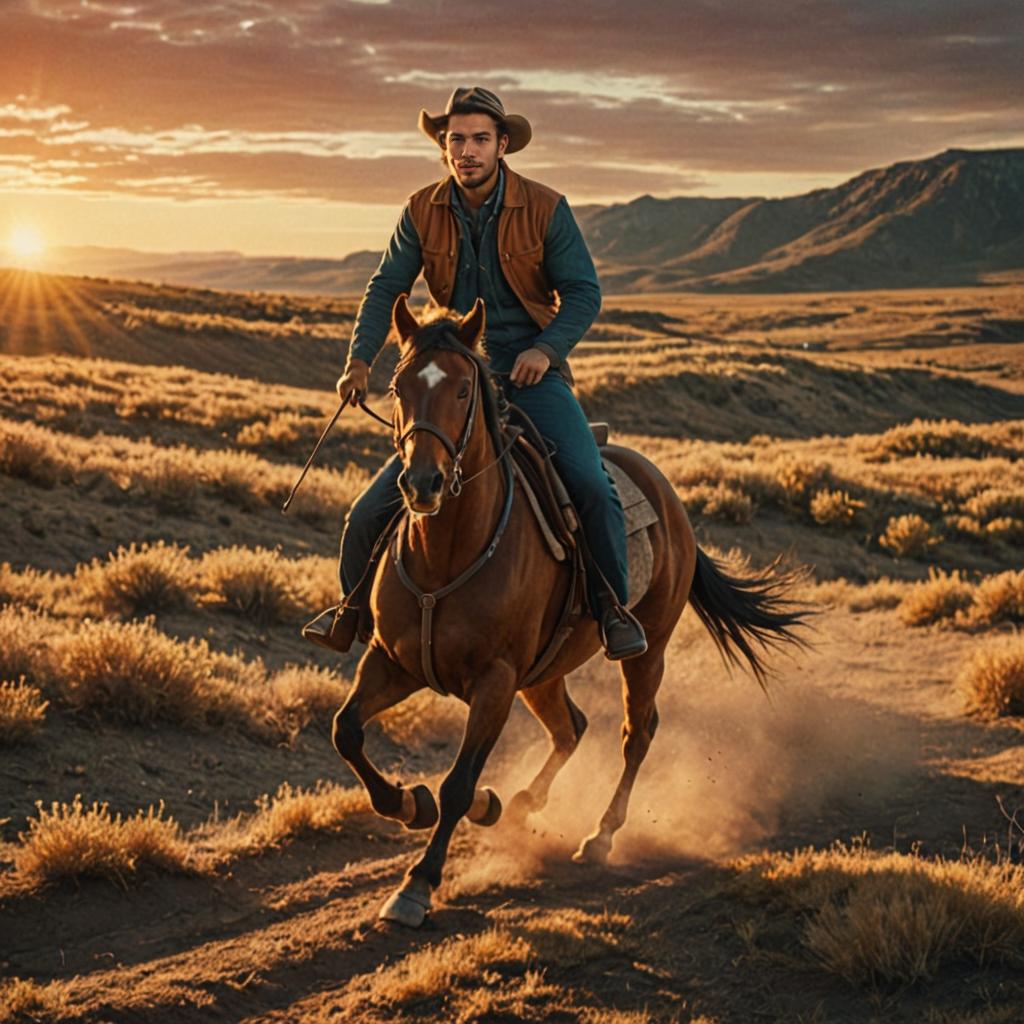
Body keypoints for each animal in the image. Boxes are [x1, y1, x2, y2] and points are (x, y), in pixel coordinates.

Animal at [329, 294, 806, 929]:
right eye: (399, 386)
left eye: (463, 390)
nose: (423, 482)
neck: (447, 554)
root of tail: (668, 496)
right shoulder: (394, 662)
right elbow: (347, 732)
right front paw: (411, 803)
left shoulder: (495, 682)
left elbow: (458, 784)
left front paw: (418, 883)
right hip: (543, 674)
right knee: (571, 726)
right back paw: (514, 804)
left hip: (644, 650)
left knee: (635, 732)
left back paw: (598, 837)